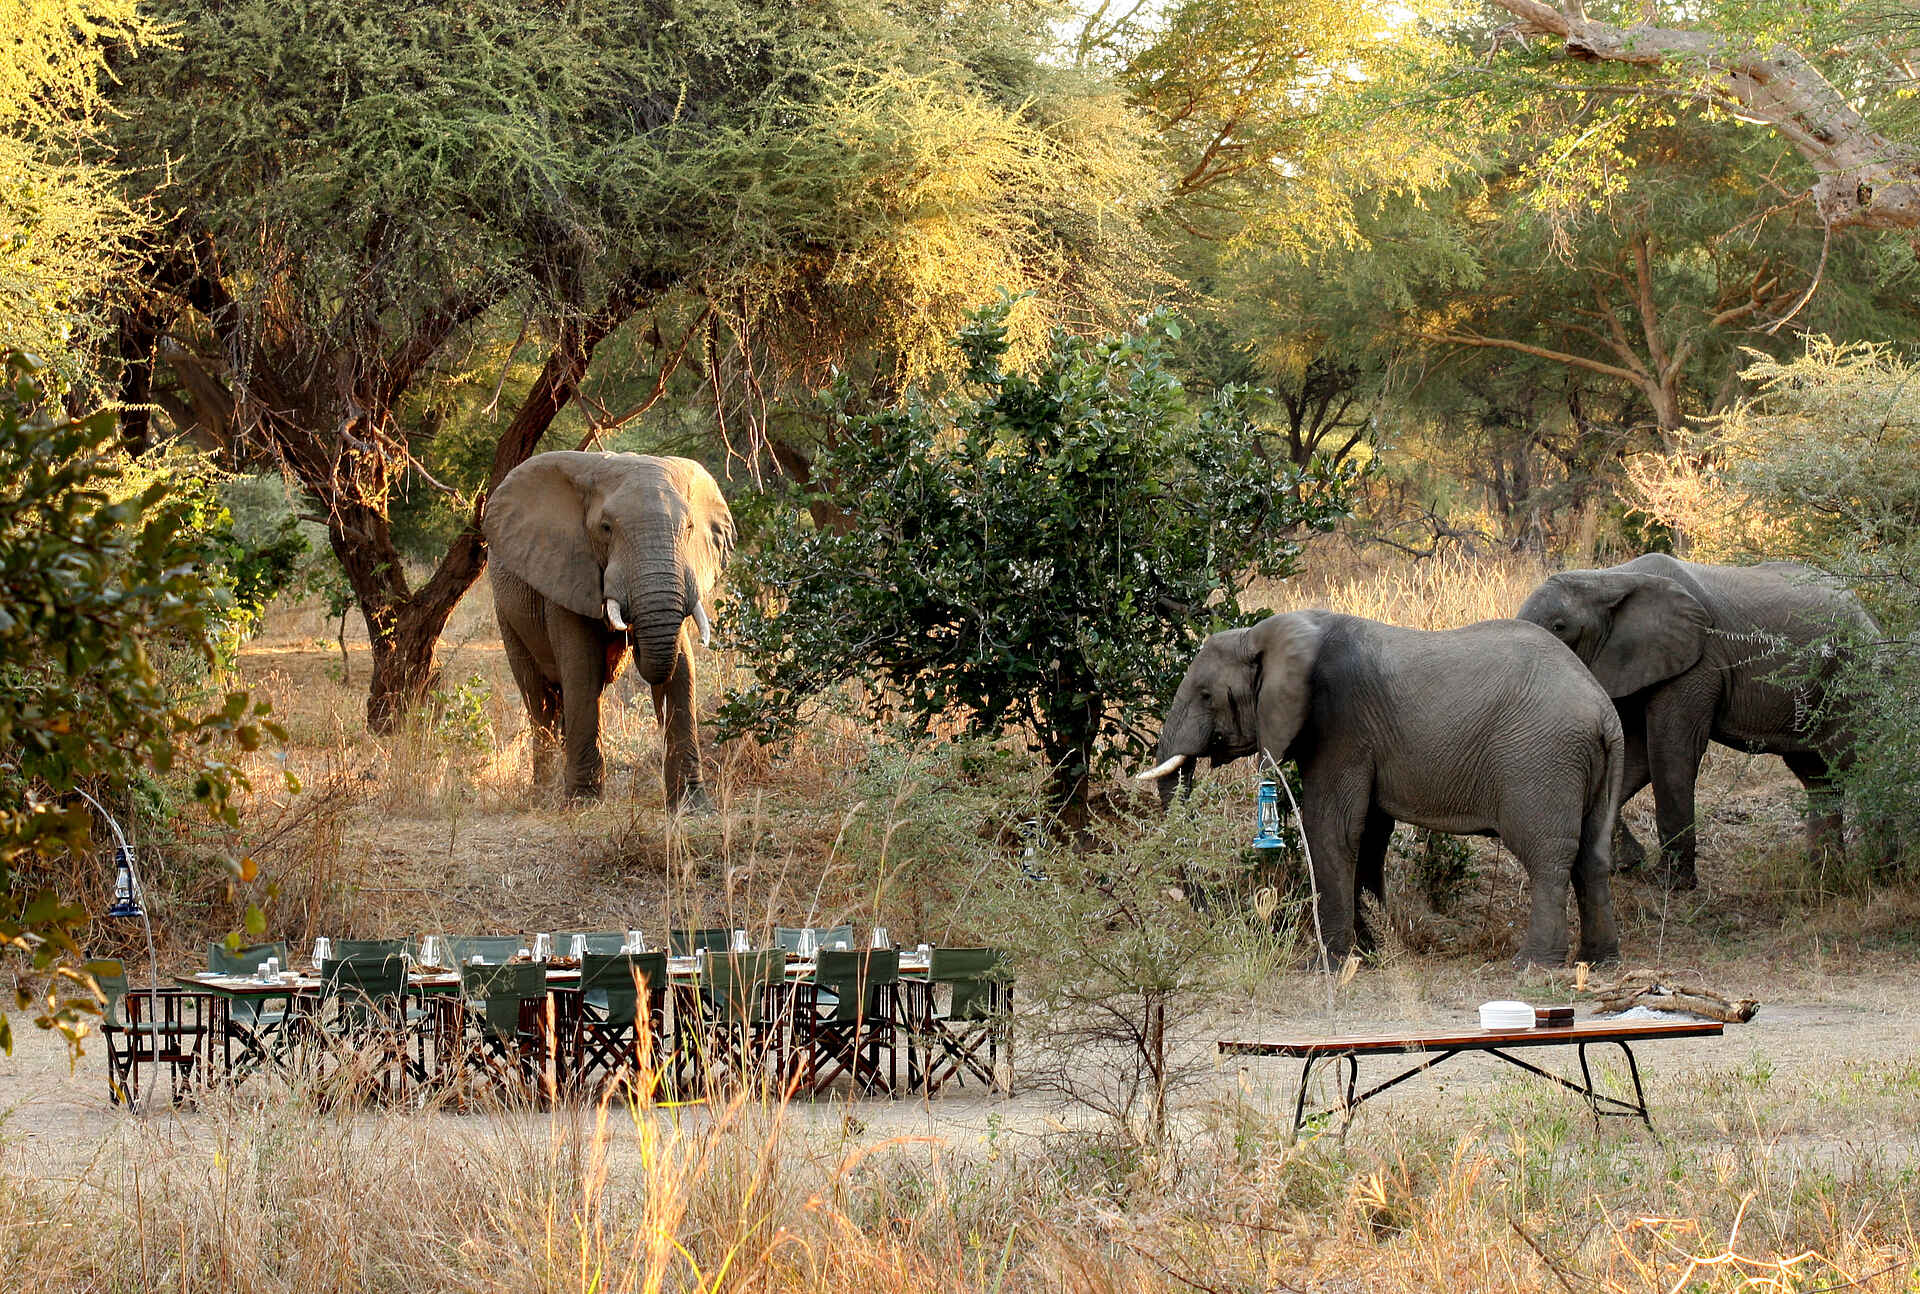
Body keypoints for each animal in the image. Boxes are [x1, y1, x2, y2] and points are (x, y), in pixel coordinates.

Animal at [484, 450, 733, 806]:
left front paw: (692, 805)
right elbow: (581, 667)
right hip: (506, 612)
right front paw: (583, 803)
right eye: (605, 528)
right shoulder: (566, 568)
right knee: (539, 698)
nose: (631, 636)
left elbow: (682, 667)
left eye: (688, 528)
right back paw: (543, 794)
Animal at [1139, 611, 1625, 967]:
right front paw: (1371, 951)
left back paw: (1533, 965)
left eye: (1206, 695)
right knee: (1592, 856)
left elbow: (1331, 828)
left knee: (1546, 856)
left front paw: (1328, 965)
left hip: (1542, 761)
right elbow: (1368, 834)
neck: (1267, 635)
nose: (1211, 912)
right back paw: (1599, 961)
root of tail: (1604, 711)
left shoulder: (1340, 728)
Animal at [1517, 553, 1877, 889]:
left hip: (1854, 675)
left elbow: (1670, 751)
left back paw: (1877, 870)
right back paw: (1824, 877)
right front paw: (1626, 865)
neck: (1607, 579)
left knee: (1859, 760)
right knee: (1819, 775)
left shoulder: (1695, 663)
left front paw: (1669, 885)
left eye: (1559, 626)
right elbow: (1634, 755)